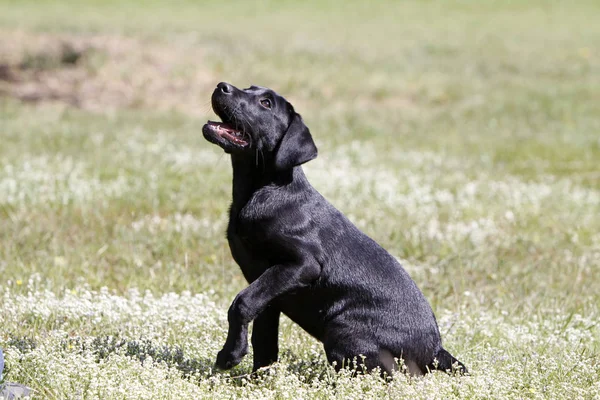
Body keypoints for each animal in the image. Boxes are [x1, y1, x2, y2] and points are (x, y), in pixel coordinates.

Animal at [202, 83, 464, 376]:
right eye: (249, 88)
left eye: (266, 103)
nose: (221, 86)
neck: (262, 191)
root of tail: (437, 351)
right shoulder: (267, 290)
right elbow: (264, 339)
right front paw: (258, 378)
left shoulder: (303, 263)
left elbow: (242, 303)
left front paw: (229, 355)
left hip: (342, 328)